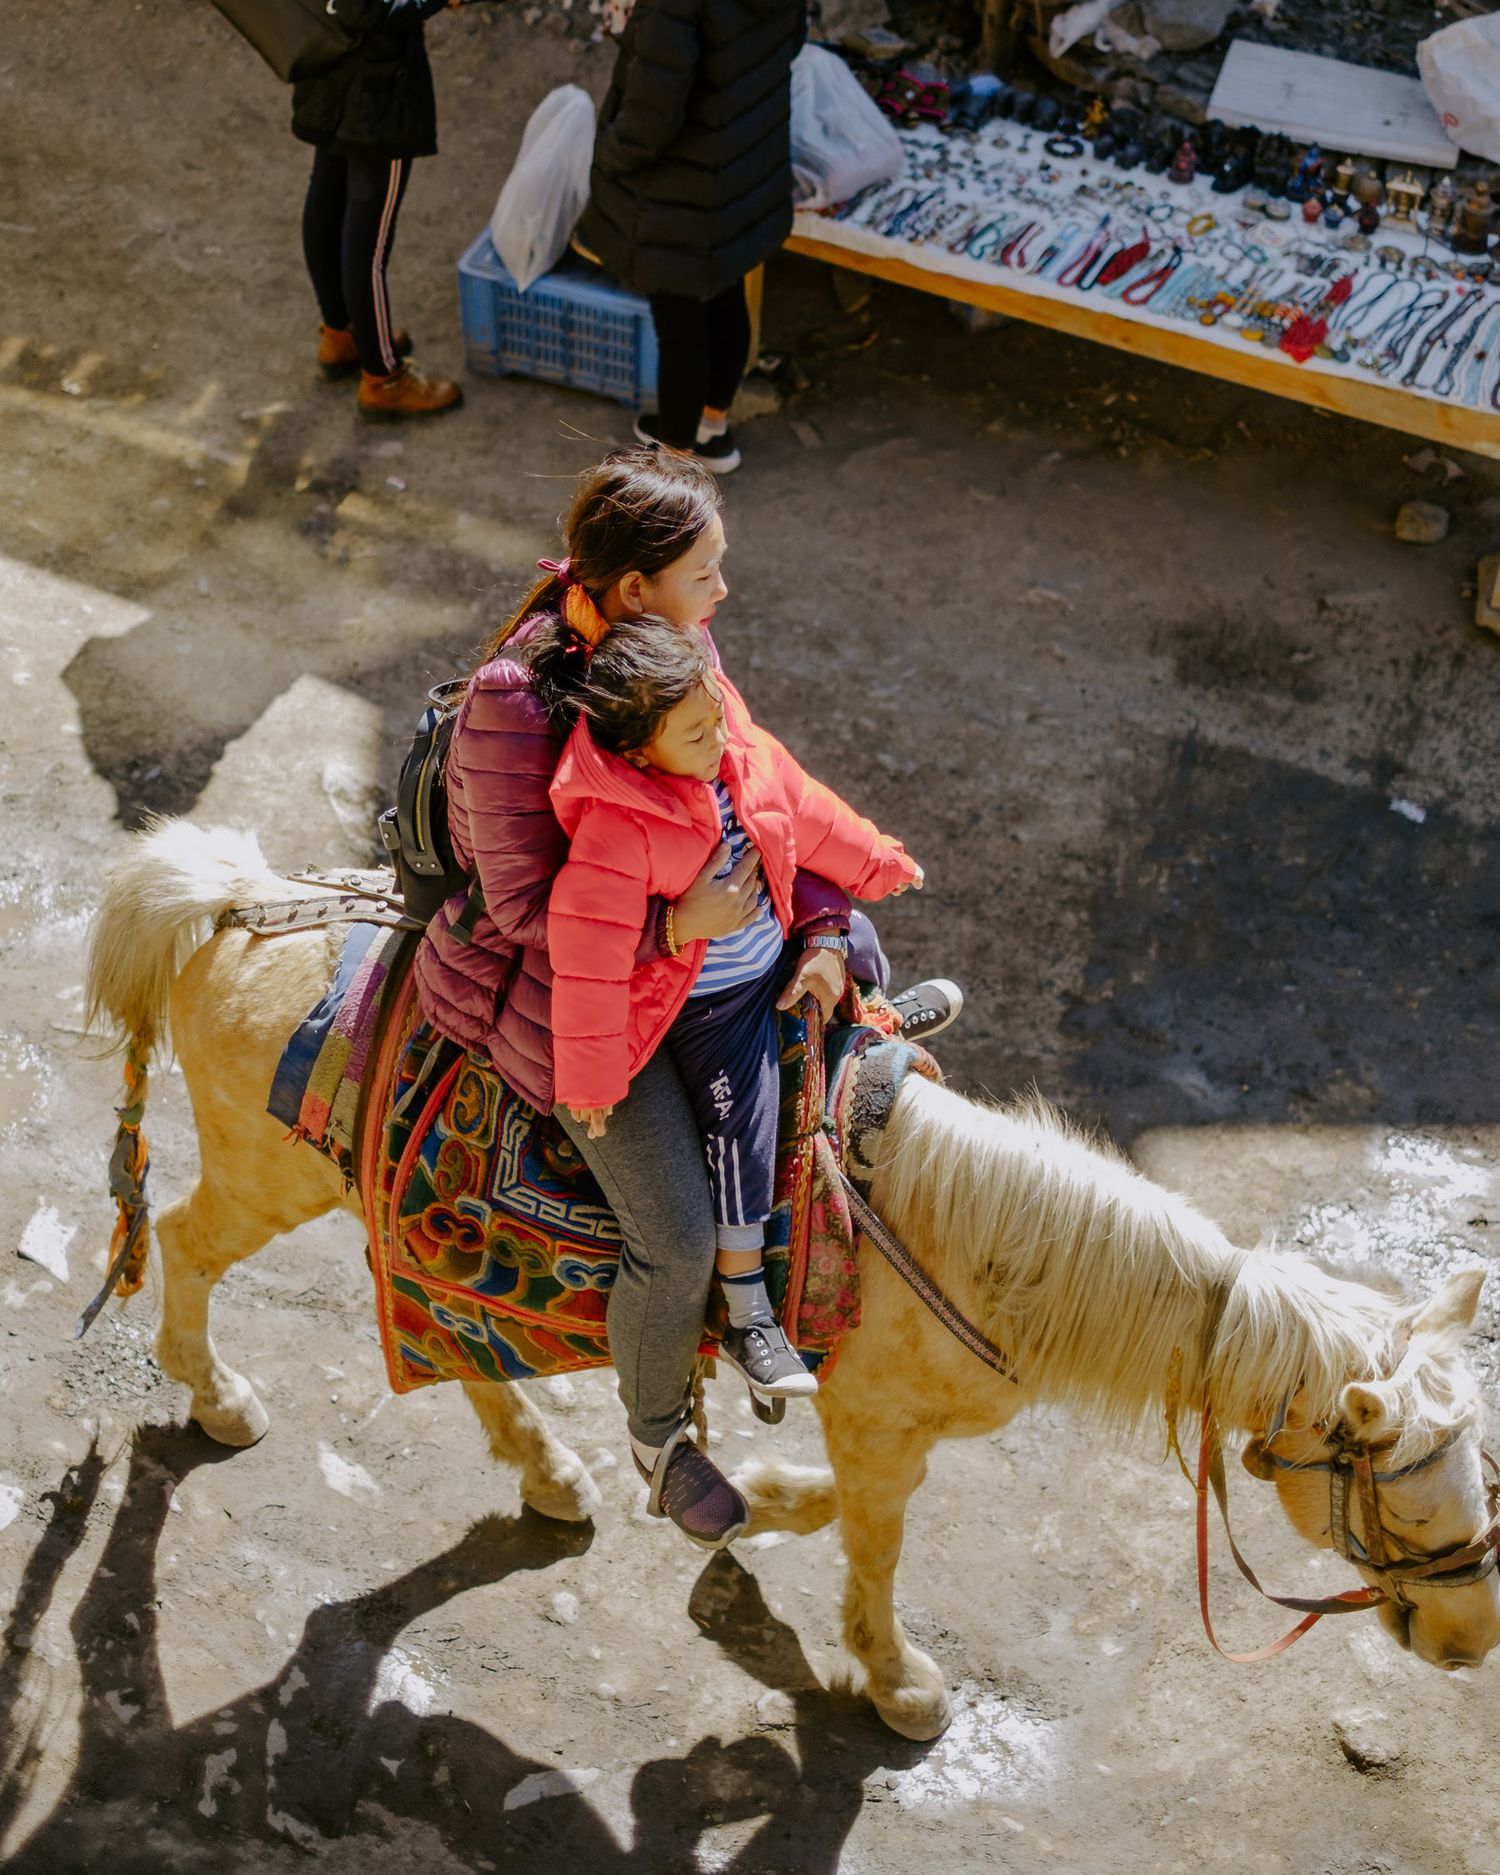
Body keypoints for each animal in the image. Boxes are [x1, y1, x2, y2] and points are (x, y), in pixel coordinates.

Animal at [82, 818, 1500, 1740]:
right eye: (1407, 1509)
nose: (1469, 1644)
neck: (988, 1250)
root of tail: (232, 899)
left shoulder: (872, 1423)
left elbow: (838, 1509)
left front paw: (746, 1506)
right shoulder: (880, 1423)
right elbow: (876, 1541)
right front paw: (898, 1680)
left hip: (386, 1212)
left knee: (436, 1319)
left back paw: (552, 1473)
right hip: (268, 1175)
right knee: (189, 1247)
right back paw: (219, 1399)